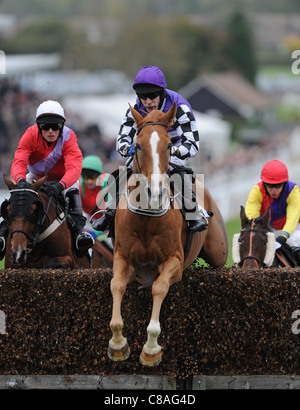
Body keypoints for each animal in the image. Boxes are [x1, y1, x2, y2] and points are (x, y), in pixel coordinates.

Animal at [105, 102, 227, 366]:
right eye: (138, 145)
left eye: (170, 145)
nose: (156, 192)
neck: (146, 217)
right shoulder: (122, 257)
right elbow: (116, 284)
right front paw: (118, 344)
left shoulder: (175, 262)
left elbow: (159, 287)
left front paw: (151, 349)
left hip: (218, 251)